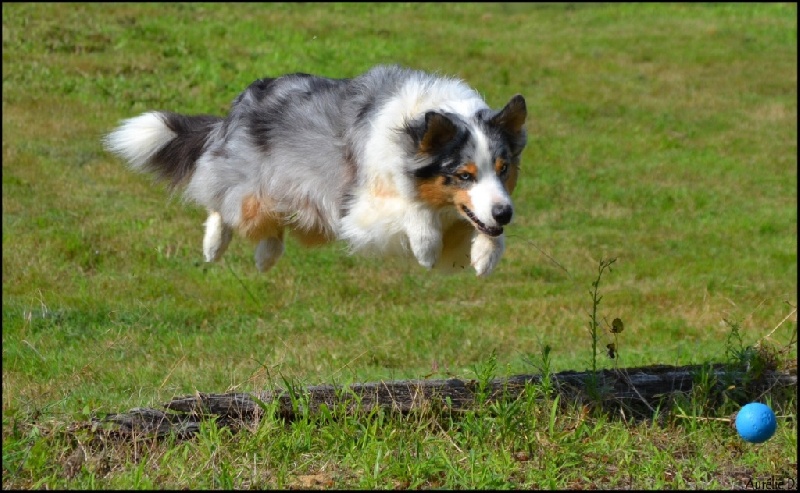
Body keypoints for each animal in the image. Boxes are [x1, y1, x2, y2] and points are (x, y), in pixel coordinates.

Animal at [108, 63, 532, 274]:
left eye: (503, 168)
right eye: (463, 175)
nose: (506, 214)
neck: (412, 132)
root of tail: (241, 103)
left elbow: (483, 230)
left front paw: (485, 257)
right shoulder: (358, 205)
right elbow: (413, 209)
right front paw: (426, 249)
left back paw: (265, 256)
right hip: (254, 178)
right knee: (222, 198)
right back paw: (214, 245)